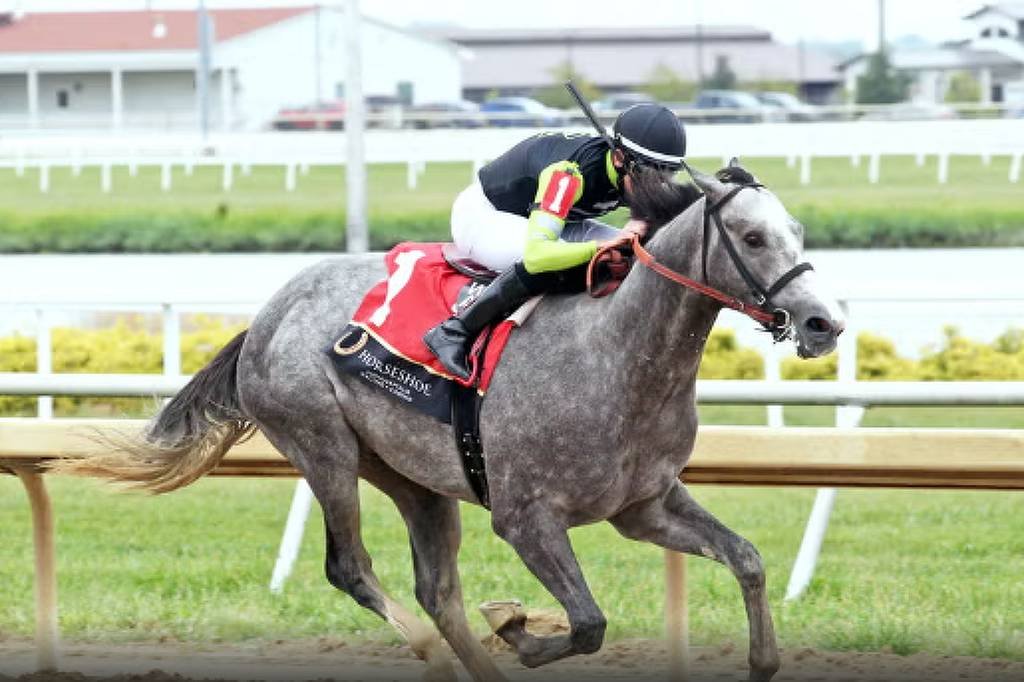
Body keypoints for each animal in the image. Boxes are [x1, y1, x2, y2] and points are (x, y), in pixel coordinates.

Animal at [58, 160, 844, 682]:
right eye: (751, 236)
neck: (619, 354)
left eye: (797, 230)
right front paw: (519, 629)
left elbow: (747, 558)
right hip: (322, 446)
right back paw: (431, 652)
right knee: (351, 568)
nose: (823, 322)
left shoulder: (643, 505)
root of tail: (267, 314)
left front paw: (763, 659)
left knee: (437, 589)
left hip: (415, 478)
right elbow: (589, 623)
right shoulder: (527, 518)